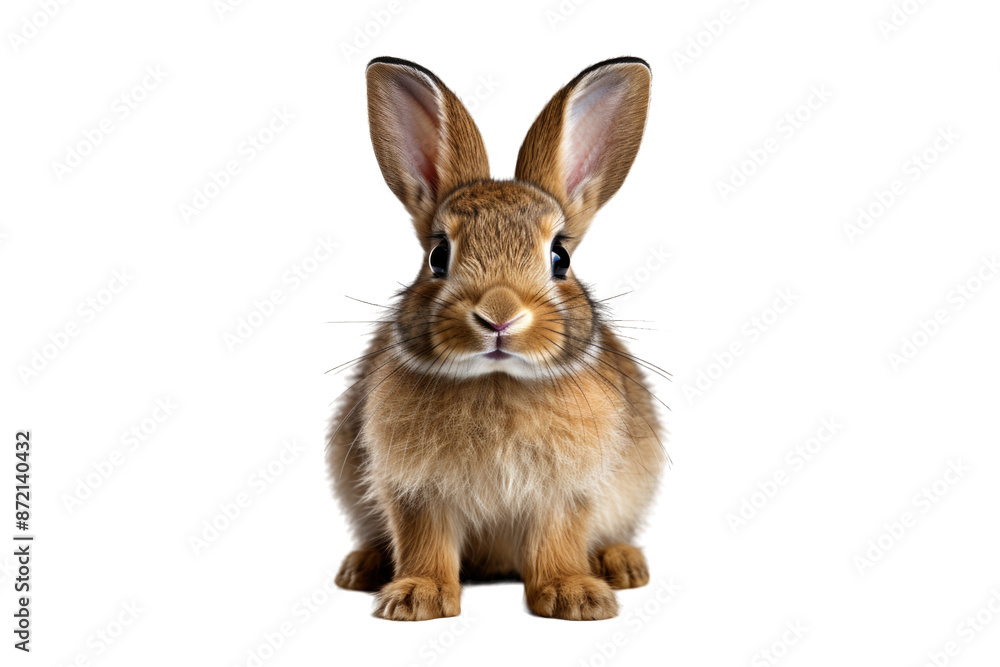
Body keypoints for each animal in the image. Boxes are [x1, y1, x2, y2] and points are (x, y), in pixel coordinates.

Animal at [327, 56, 666, 621]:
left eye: (560, 258)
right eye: (438, 256)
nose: (499, 316)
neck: (498, 379)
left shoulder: (565, 492)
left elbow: (558, 539)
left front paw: (575, 597)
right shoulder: (416, 489)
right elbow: (425, 540)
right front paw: (417, 597)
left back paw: (622, 565)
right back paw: (363, 568)